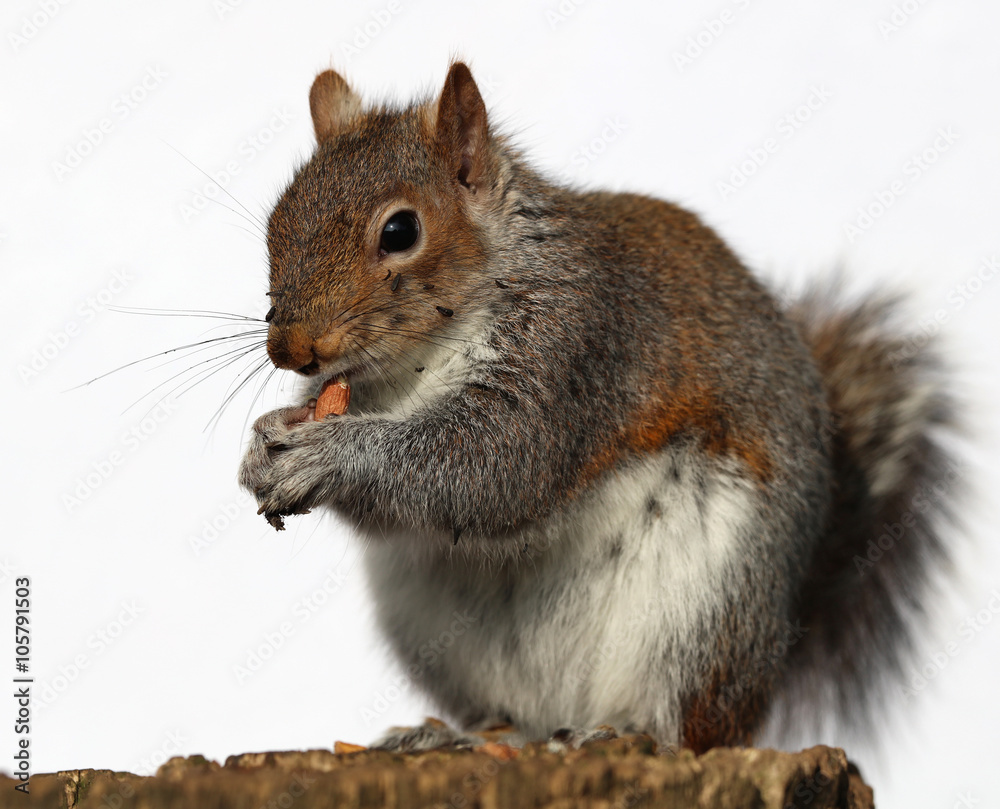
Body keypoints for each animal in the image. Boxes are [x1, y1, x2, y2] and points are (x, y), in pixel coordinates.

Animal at [238, 62, 956, 753]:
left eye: (400, 230)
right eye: (278, 220)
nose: (290, 348)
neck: (415, 364)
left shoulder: (578, 348)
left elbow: (491, 470)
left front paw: (326, 455)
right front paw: (264, 444)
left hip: (706, 614)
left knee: (689, 726)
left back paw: (628, 733)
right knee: (518, 716)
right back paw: (463, 735)